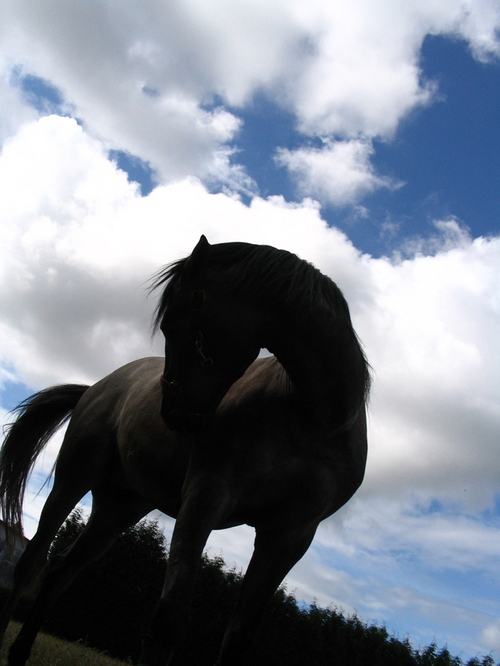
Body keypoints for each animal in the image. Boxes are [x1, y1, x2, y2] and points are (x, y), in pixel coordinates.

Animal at [0, 236, 368, 660]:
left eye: (171, 323)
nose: (171, 412)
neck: (314, 418)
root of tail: (98, 386)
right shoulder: (205, 500)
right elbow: (168, 622)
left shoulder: (288, 538)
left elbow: (238, 638)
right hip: (74, 478)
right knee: (31, 562)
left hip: (119, 507)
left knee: (61, 570)